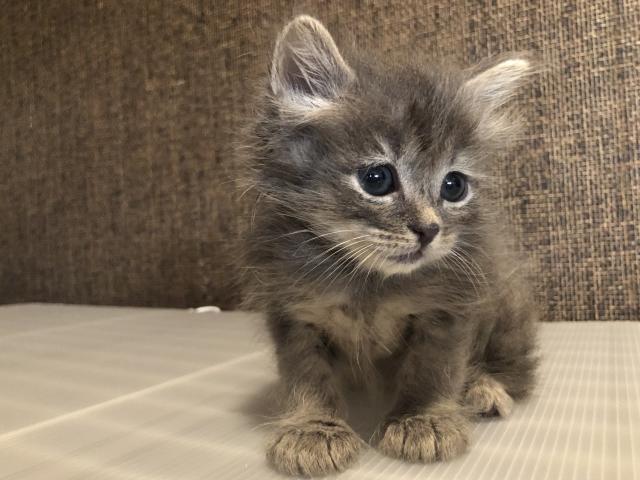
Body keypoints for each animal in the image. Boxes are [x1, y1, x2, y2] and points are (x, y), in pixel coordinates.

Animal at [239, 15, 539, 477]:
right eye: (377, 179)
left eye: (454, 186)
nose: (429, 230)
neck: (369, 282)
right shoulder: (294, 310)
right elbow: (308, 377)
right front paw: (314, 428)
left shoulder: (448, 307)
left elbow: (432, 369)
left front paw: (422, 420)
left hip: (506, 306)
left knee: (514, 368)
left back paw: (484, 388)